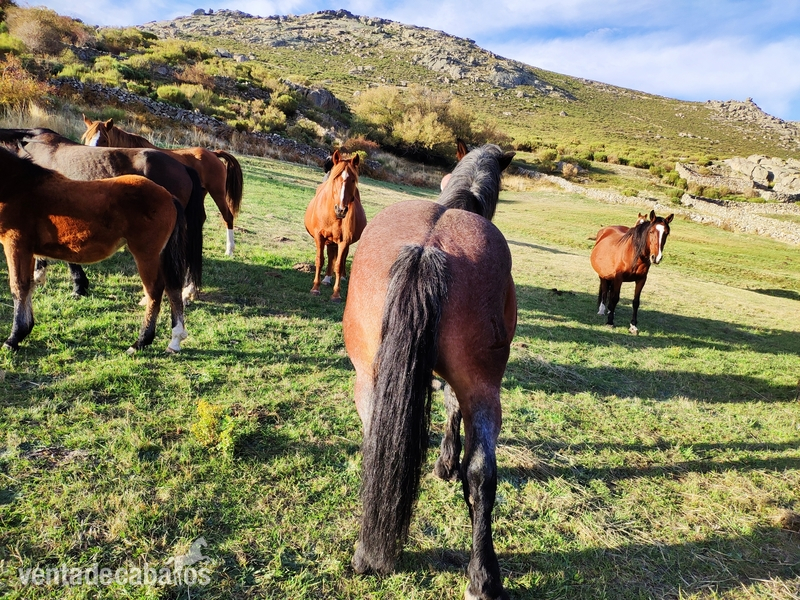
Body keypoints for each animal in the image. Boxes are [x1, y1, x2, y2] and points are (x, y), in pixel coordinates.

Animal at [0, 147, 202, 353]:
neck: (18, 186)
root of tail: (169, 196)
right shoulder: (27, 250)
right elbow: (28, 286)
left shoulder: (16, 246)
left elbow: (19, 287)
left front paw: (14, 338)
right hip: (161, 255)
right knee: (172, 288)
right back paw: (175, 340)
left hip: (147, 255)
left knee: (154, 291)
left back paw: (141, 341)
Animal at [81, 117, 243, 256]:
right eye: (87, 138)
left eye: (103, 139)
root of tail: (213, 153)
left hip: (217, 193)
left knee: (227, 216)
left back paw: (229, 250)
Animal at [304, 150, 366, 302]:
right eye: (335, 178)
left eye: (353, 180)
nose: (341, 209)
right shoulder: (319, 237)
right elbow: (320, 260)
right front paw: (315, 288)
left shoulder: (344, 240)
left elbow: (338, 264)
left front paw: (336, 294)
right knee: (331, 254)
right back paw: (326, 279)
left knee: (341, 258)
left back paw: (341, 277)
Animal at [342, 144, 516, 600]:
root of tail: (427, 246)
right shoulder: (463, 386)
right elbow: (451, 407)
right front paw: (445, 462)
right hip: (484, 389)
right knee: (481, 473)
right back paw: (483, 577)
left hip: (369, 379)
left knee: (378, 447)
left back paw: (367, 554)